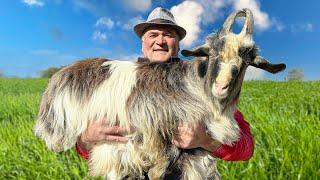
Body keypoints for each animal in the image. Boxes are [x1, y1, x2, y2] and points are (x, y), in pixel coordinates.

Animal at [36, 8, 286, 180]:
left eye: (247, 60)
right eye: (211, 53)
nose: (221, 86)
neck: (197, 85)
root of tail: (57, 79)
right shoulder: (159, 140)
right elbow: (158, 170)